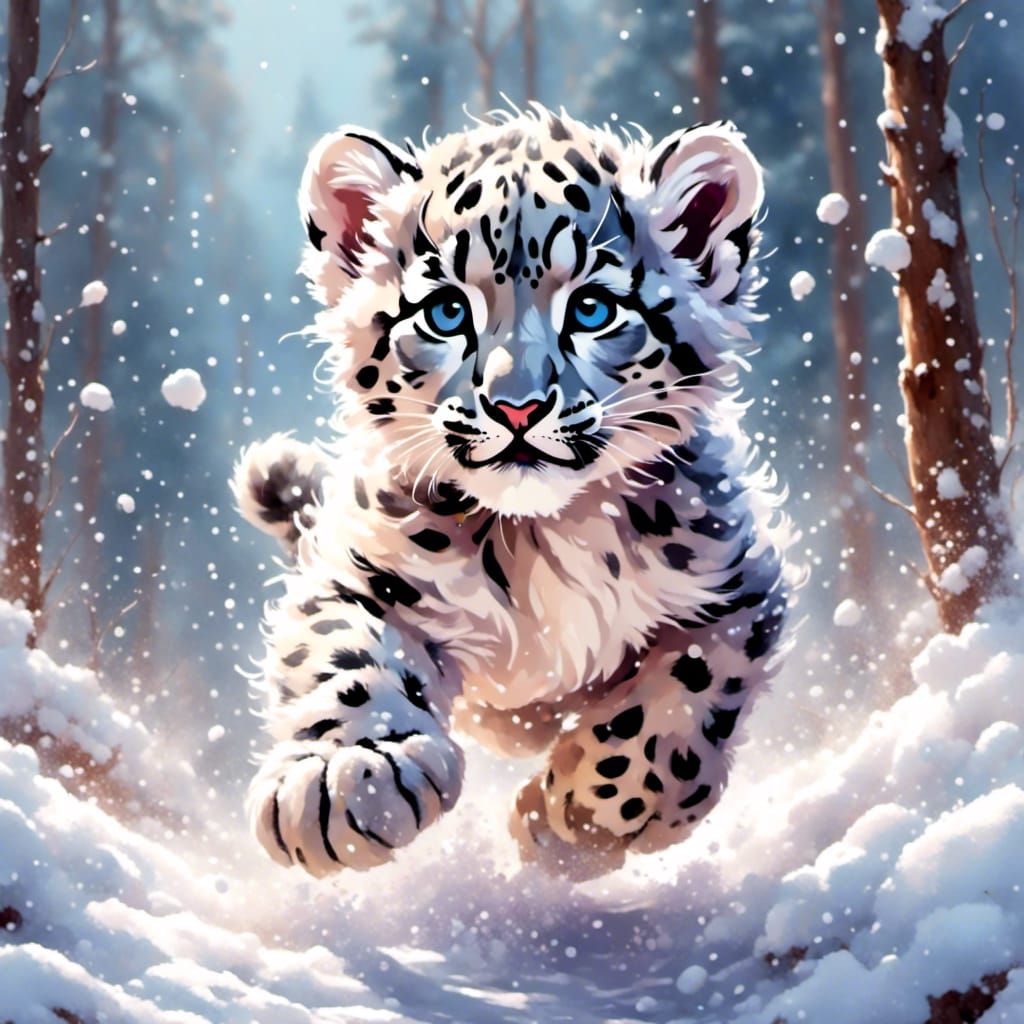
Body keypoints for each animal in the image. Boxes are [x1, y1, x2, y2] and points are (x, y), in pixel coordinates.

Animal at [233, 103, 792, 881]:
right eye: (444, 311)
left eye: (592, 309)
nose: (517, 407)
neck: (541, 539)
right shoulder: (363, 569)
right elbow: (341, 653)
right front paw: (349, 780)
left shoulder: (737, 591)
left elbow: (680, 705)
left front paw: (571, 821)